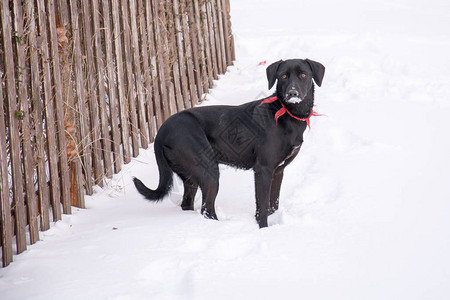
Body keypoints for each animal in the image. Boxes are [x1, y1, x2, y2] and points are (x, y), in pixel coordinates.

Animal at [132, 58, 326, 227]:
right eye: (283, 76)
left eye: (303, 75)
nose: (292, 94)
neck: (287, 113)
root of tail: (162, 131)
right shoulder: (263, 170)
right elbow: (263, 207)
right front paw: (263, 229)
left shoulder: (278, 171)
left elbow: (273, 204)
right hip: (209, 171)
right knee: (207, 209)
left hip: (190, 176)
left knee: (188, 203)